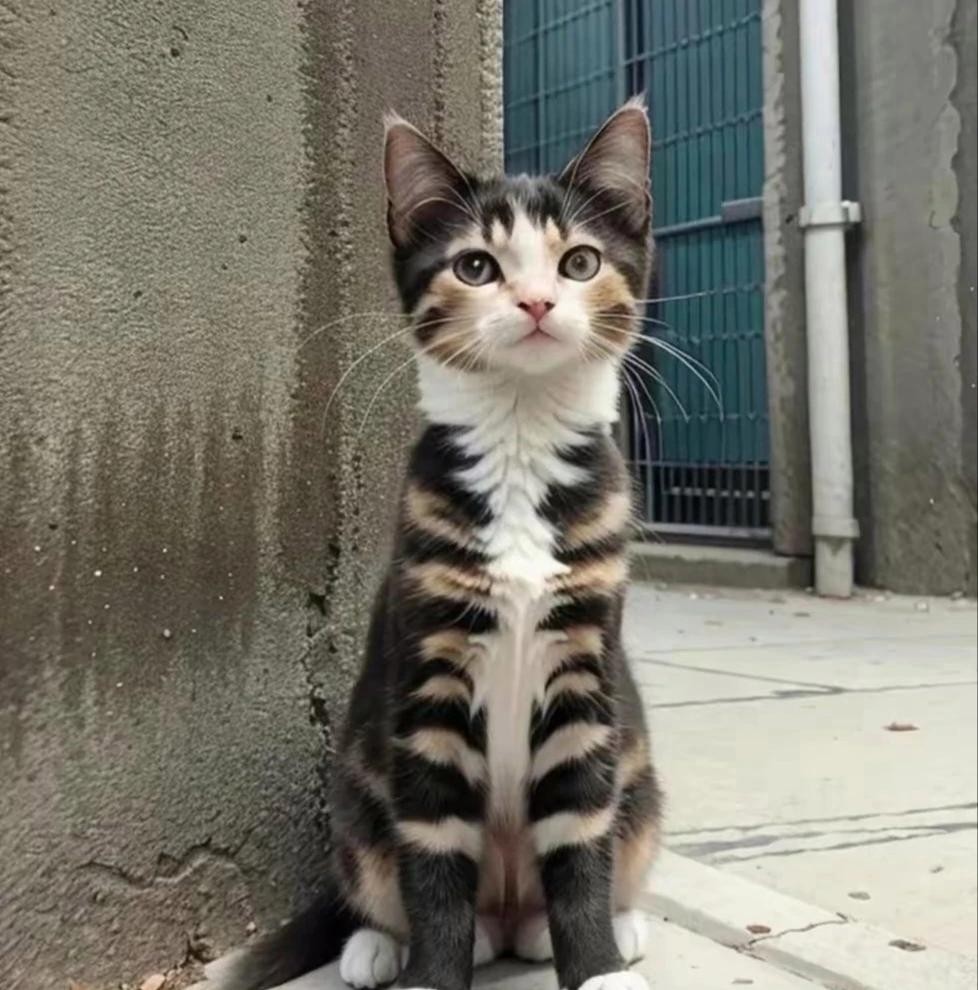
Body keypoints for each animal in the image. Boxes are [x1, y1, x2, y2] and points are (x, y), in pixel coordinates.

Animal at [211, 97, 663, 990]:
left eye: (580, 262)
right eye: (477, 266)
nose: (536, 302)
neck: (520, 441)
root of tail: (510, 913)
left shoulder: (586, 677)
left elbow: (582, 834)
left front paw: (594, 964)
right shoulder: (427, 682)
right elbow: (433, 856)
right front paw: (431, 971)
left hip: (640, 776)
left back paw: (609, 927)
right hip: (357, 782)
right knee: (376, 870)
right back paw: (377, 944)